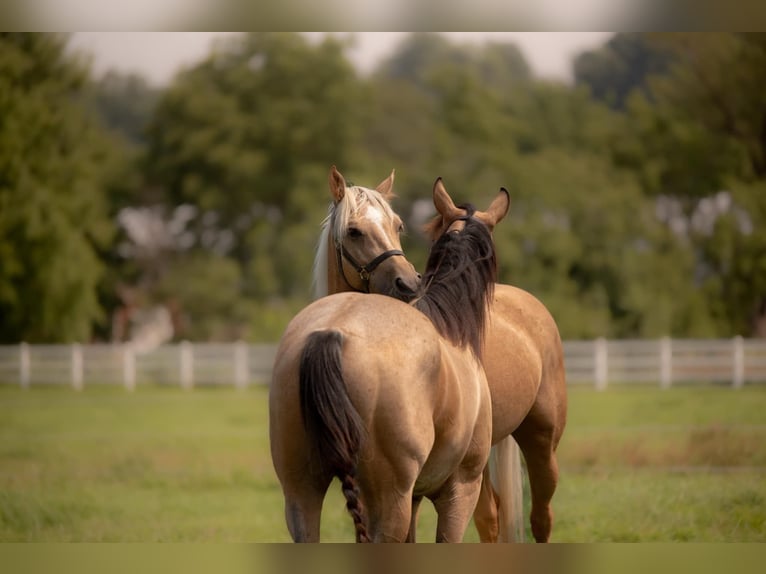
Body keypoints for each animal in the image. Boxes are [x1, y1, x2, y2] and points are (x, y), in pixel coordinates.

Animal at [270, 180, 510, 544]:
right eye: (353, 231)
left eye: (398, 226)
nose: (408, 282)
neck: (449, 323)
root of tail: (332, 332)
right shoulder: (460, 491)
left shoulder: (411, 499)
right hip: (390, 500)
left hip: (301, 494)